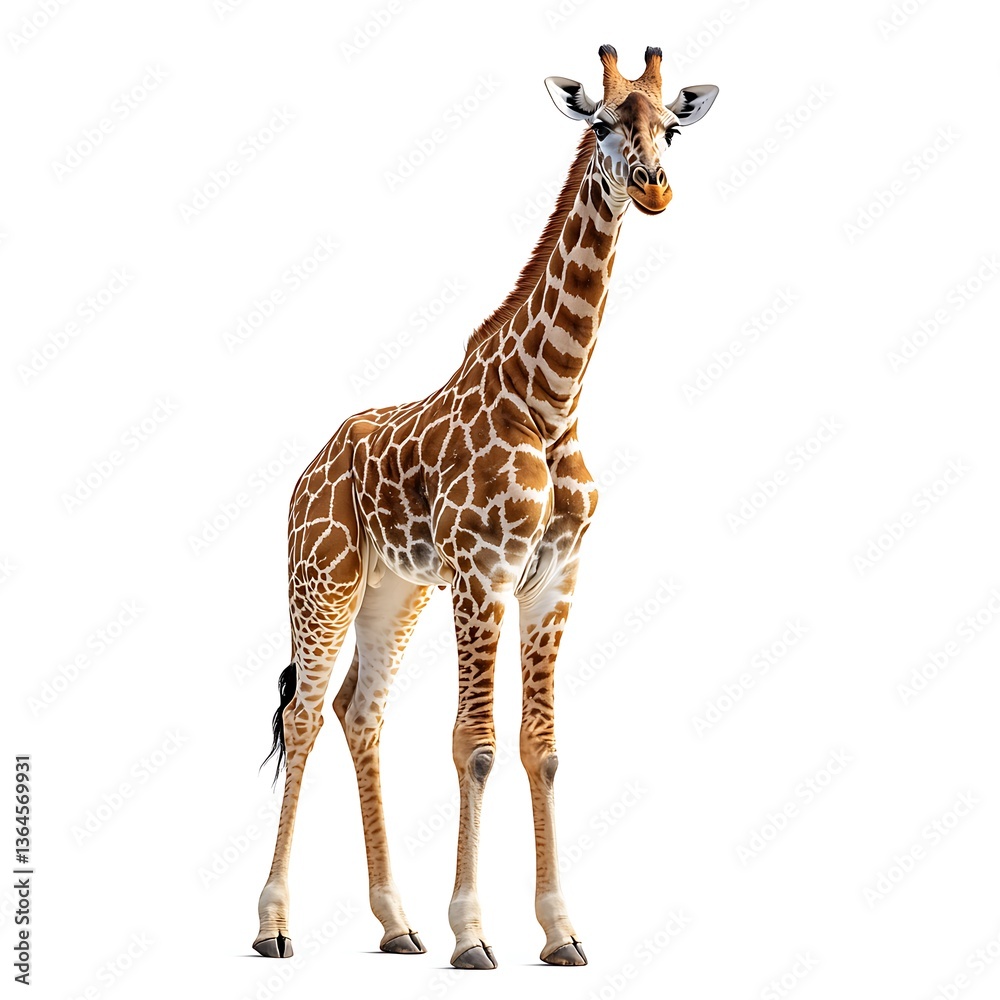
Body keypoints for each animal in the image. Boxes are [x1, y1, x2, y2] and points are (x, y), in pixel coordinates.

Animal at [253, 44, 718, 970]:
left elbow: (542, 748)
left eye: (672, 126)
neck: (553, 398)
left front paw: (560, 931)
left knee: (361, 711)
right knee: (304, 713)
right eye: (600, 124)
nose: (654, 188)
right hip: (323, 578)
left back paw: (396, 924)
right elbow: (475, 745)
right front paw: (473, 933)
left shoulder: (553, 579)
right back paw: (274, 925)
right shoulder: (483, 573)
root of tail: (307, 471)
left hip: (396, 591)